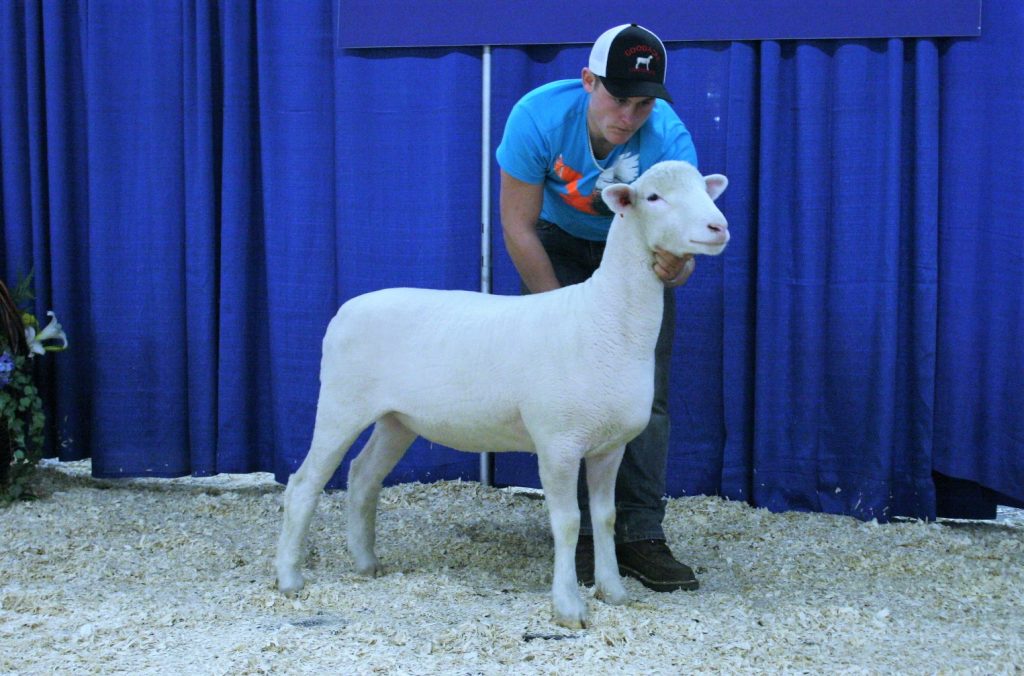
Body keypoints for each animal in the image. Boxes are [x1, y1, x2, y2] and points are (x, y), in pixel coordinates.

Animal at [276, 159, 729, 626]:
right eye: (654, 198)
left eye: (705, 190)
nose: (719, 227)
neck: (603, 320)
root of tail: (345, 310)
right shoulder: (557, 442)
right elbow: (568, 522)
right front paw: (568, 606)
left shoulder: (610, 445)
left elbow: (604, 517)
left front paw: (613, 591)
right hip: (341, 403)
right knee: (304, 483)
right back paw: (290, 577)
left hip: (397, 419)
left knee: (363, 476)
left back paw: (366, 563)